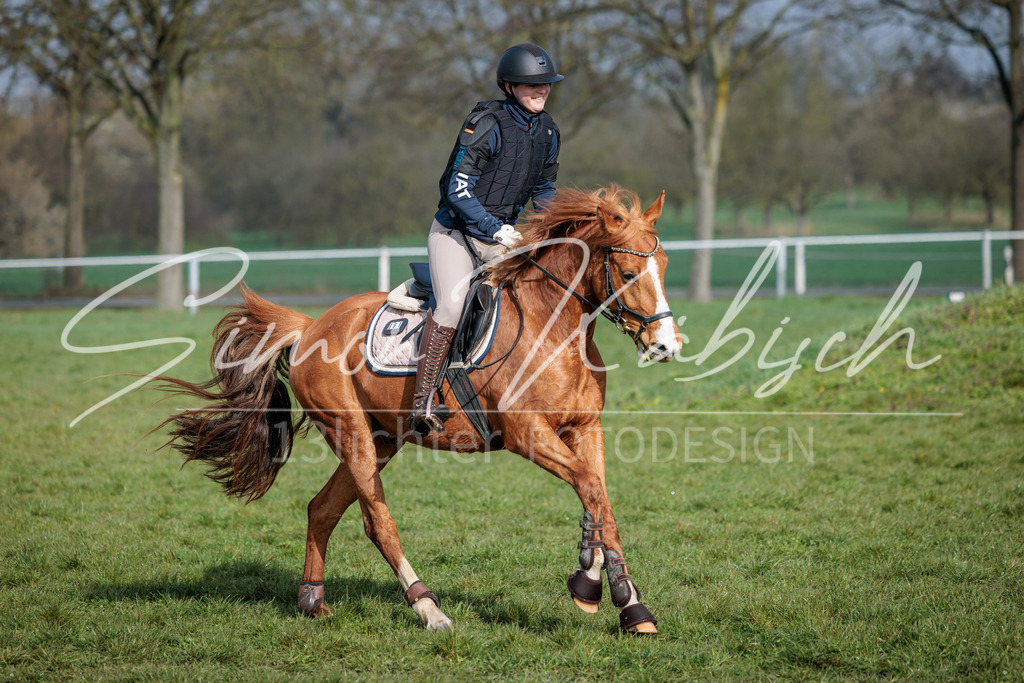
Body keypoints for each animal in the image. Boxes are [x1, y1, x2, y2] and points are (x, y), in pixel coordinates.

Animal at [156, 185, 683, 634]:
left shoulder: (584, 429)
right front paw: (591, 585)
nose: (666, 345)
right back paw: (428, 608)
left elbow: (600, 500)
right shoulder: (528, 435)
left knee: (322, 509)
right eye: (630, 274)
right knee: (376, 521)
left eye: (664, 266)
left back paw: (312, 600)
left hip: (383, 438)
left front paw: (628, 604)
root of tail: (310, 327)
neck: (554, 326)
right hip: (352, 434)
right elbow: (591, 489)